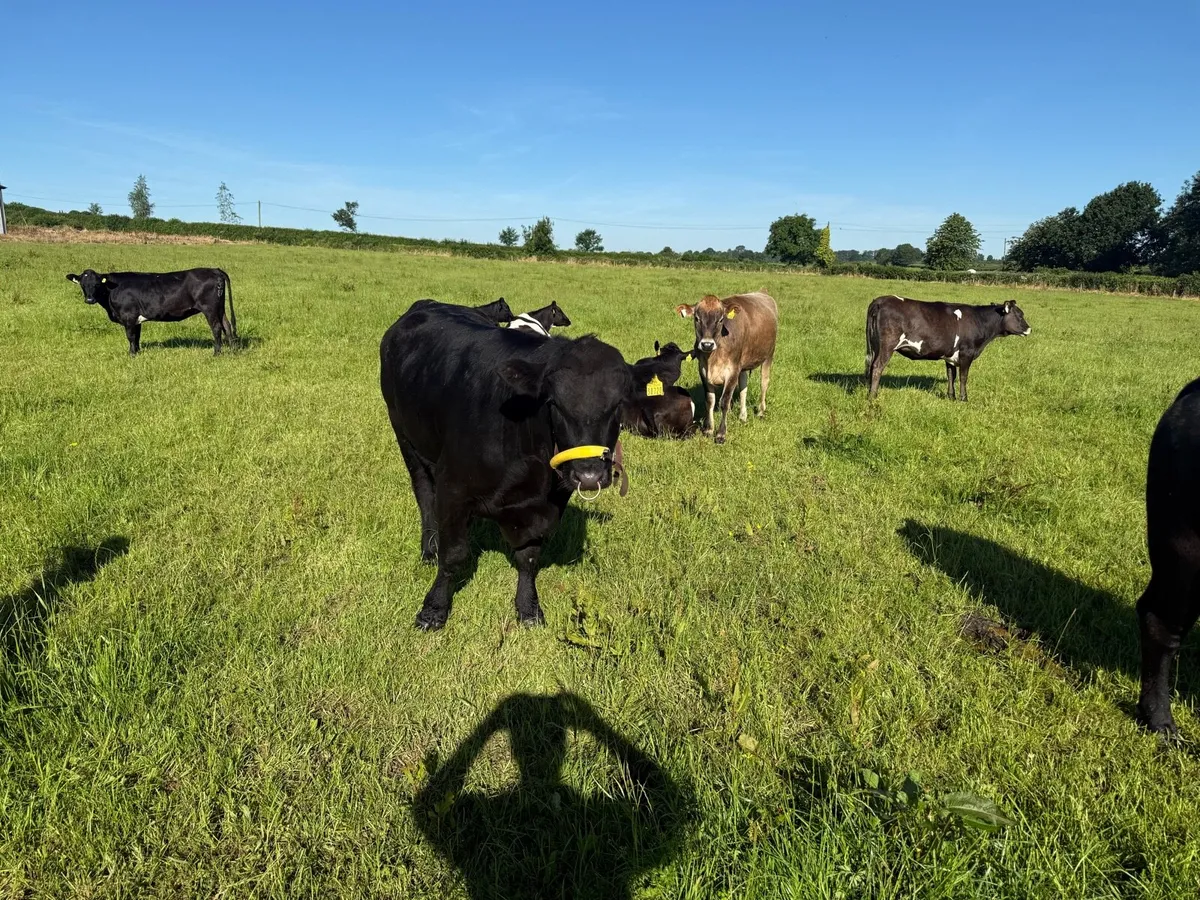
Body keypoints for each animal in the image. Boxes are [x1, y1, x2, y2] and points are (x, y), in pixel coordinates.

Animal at [66, 267, 237, 356]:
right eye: (82, 284)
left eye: (96, 284)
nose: (89, 299)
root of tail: (214, 270)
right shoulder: (136, 319)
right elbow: (137, 337)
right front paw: (137, 351)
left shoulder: (128, 316)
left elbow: (130, 336)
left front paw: (131, 355)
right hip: (219, 308)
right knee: (227, 326)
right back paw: (232, 350)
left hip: (210, 308)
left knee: (216, 328)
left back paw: (216, 353)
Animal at [380, 299, 632, 630]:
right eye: (553, 403)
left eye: (619, 405)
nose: (588, 474)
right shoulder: (452, 488)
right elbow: (453, 554)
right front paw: (433, 609)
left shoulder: (546, 505)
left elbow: (529, 557)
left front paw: (529, 608)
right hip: (406, 437)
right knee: (424, 494)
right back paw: (429, 547)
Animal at [675, 292, 777, 444]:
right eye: (697, 318)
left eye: (721, 319)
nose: (707, 344)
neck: (713, 357)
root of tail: (762, 293)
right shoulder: (703, 370)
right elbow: (710, 400)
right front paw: (709, 429)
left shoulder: (732, 371)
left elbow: (724, 402)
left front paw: (721, 434)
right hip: (743, 365)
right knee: (743, 387)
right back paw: (743, 416)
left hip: (768, 355)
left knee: (764, 382)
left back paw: (760, 412)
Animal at [865, 295, 1031, 401]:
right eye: (1019, 316)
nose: (1029, 329)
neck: (979, 321)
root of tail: (880, 300)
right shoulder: (966, 353)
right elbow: (963, 377)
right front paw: (964, 399)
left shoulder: (950, 356)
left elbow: (951, 376)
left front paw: (951, 397)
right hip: (887, 346)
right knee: (878, 367)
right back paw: (873, 396)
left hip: (875, 346)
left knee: (871, 366)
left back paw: (868, 391)